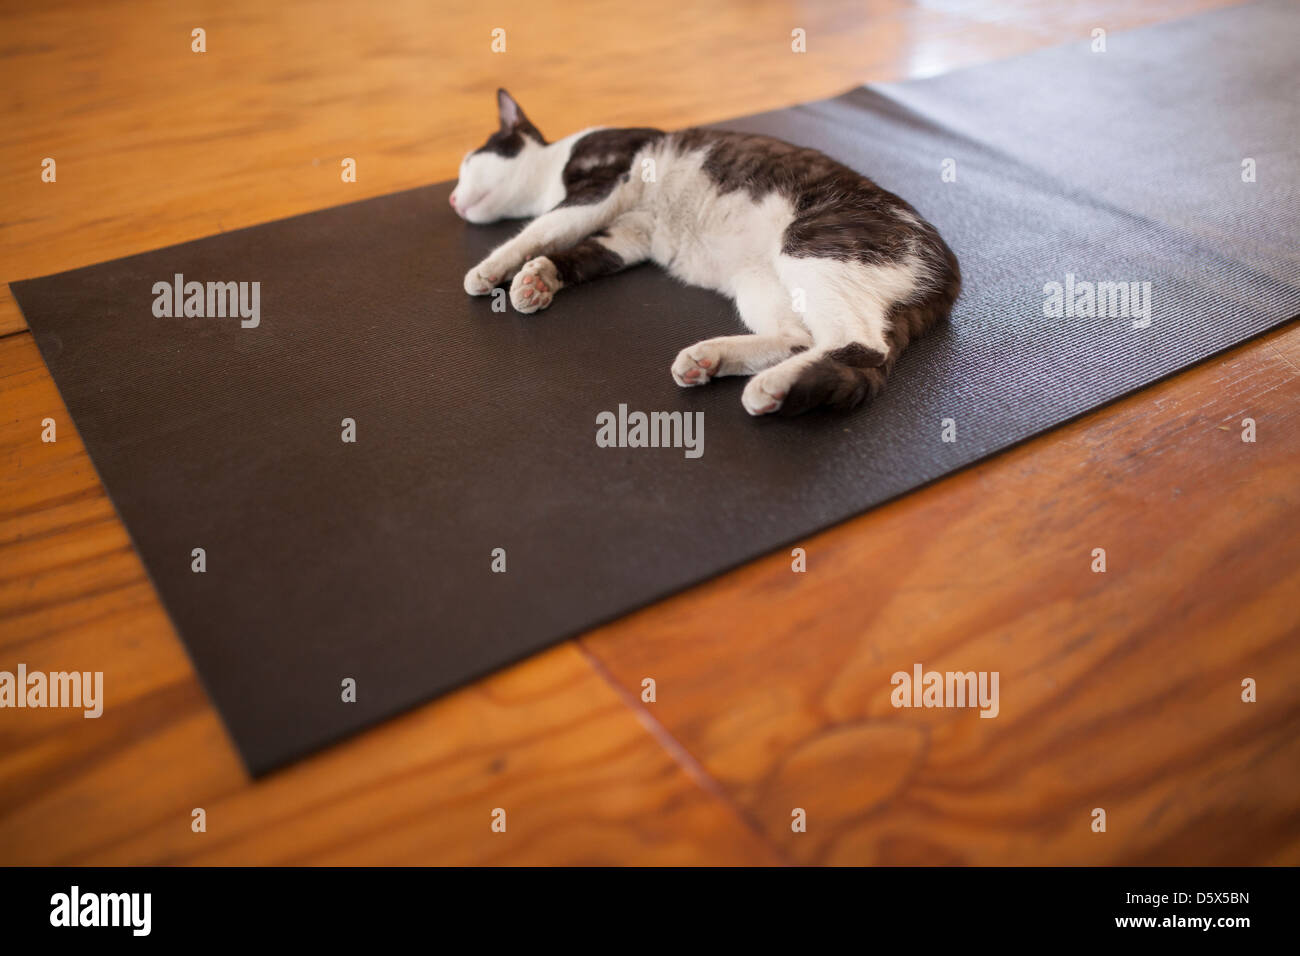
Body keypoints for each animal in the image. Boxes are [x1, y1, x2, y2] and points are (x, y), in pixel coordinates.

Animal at [452, 89, 961, 416]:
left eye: (465, 164)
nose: (453, 199)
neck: (554, 170)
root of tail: (949, 276)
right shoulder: (628, 235)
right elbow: (575, 252)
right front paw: (537, 279)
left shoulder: (603, 182)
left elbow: (538, 230)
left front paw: (488, 269)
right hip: (762, 283)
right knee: (802, 338)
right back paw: (713, 359)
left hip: (810, 243)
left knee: (860, 343)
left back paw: (771, 384)